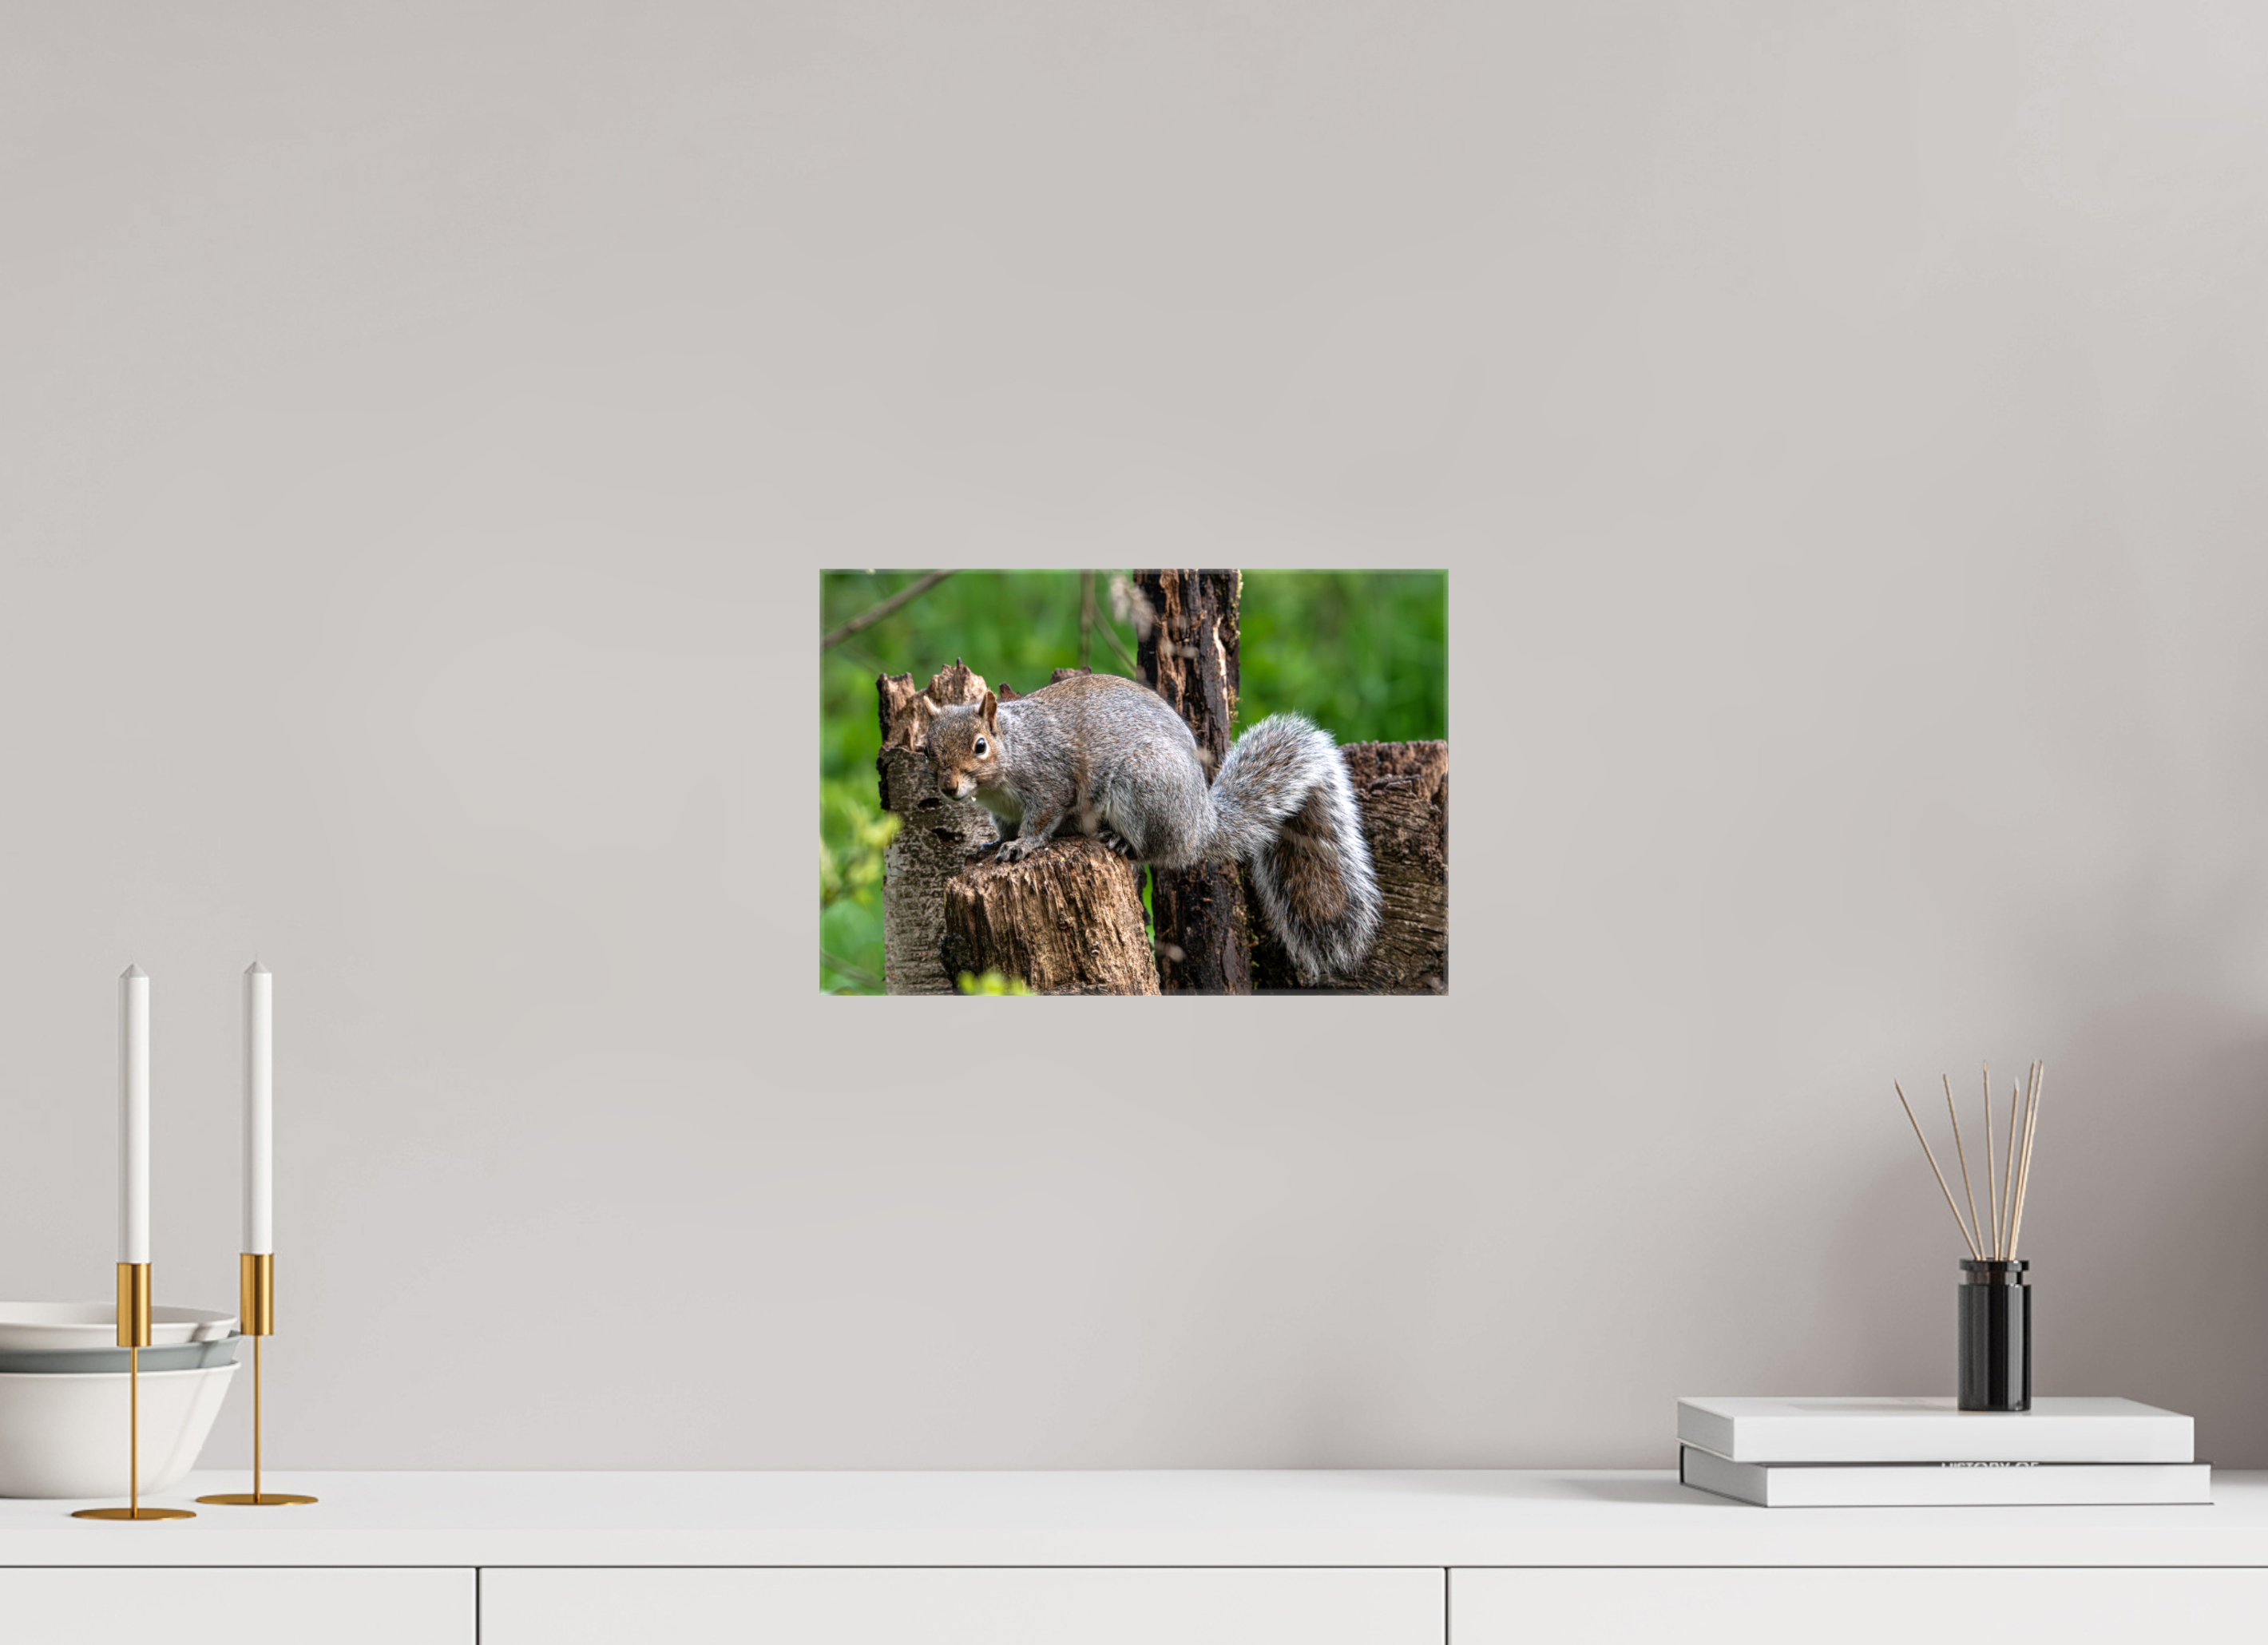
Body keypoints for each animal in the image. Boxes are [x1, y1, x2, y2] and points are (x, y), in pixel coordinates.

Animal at [924, 671, 1380, 980]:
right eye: (927, 750)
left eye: (980, 746)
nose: (948, 788)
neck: (1013, 751)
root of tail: (1200, 824)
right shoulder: (1002, 812)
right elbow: (1003, 830)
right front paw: (988, 847)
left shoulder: (1050, 783)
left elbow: (1041, 821)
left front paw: (1024, 846)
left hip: (1143, 786)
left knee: (1155, 850)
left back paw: (1121, 842)